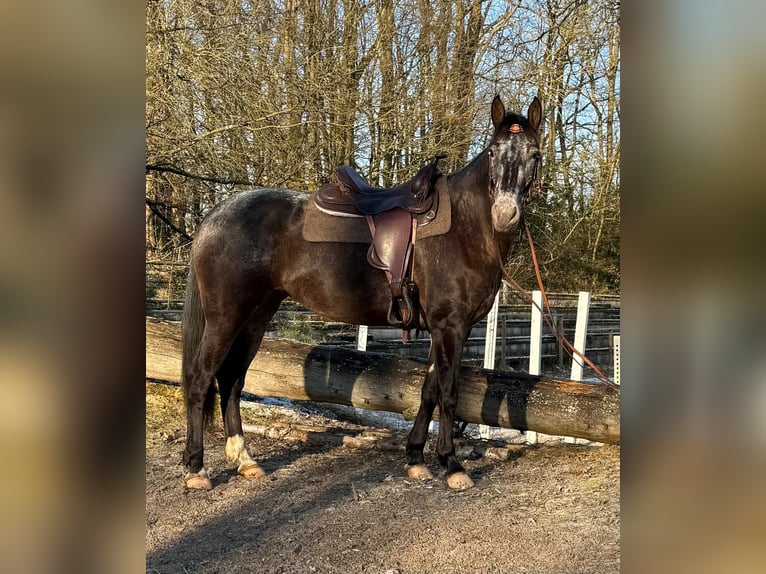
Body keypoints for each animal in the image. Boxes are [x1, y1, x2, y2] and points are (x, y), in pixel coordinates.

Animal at [181, 94, 544, 490]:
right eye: (493, 152)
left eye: (535, 154)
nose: (505, 214)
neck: (463, 229)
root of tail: (216, 213)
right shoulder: (451, 326)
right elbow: (448, 394)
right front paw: (452, 465)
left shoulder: (440, 329)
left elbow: (428, 391)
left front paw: (416, 459)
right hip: (225, 317)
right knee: (200, 378)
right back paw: (197, 468)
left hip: (256, 317)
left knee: (232, 380)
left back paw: (245, 461)